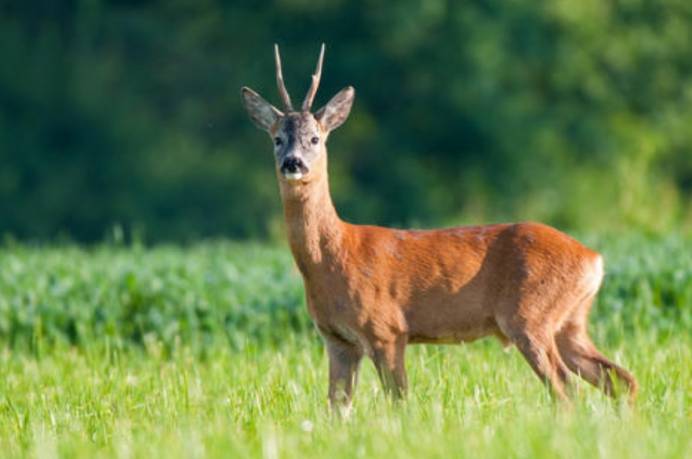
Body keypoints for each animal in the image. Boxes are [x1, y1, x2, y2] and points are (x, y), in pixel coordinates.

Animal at [239, 44, 636, 414]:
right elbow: (338, 409)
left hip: (530, 315)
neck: (335, 256)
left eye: (315, 139)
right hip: (570, 321)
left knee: (565, 387)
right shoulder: (337, 340)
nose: (293, 163)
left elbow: (399, 401)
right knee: (620, 378)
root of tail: (594, 258)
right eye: (277, 139)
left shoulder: (387, 329)